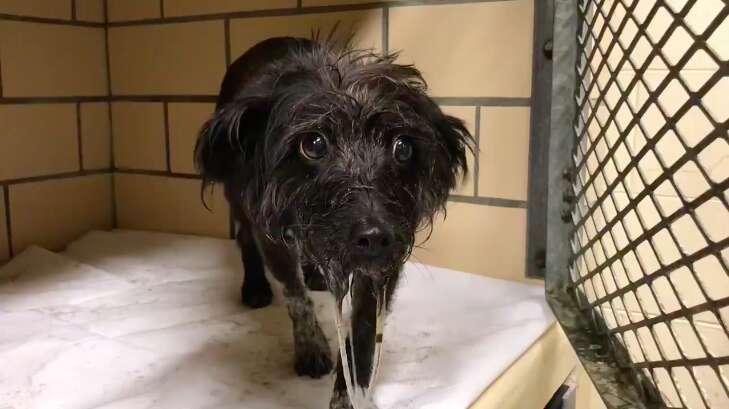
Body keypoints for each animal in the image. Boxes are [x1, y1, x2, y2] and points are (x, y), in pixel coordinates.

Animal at [195, 36, 472, 406]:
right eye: (313, 143)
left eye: (403, 148)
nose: (374, 236)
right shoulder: (272, 231)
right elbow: (296, 296)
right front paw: (311, 346)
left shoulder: (385, 259)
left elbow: (362, 338)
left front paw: (346, 395)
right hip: (236, 193)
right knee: (244, 239)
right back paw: (255, 286)